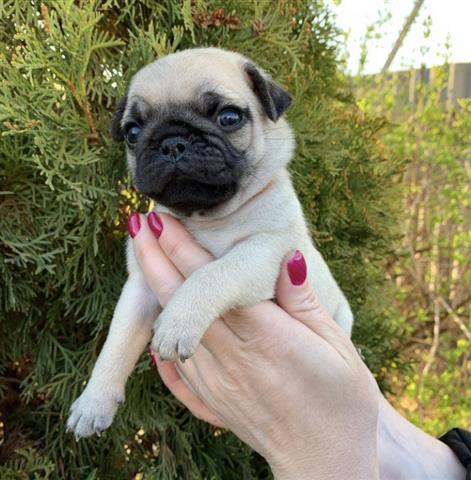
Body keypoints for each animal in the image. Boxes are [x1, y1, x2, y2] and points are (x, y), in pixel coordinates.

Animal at [67, 47, 354, 438]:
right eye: (133, 131)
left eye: (228, 117)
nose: (171, 142)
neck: (207, 217)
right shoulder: (140, 287)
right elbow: (117, 342)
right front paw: (94, 400)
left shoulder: (263, 253)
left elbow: (212, 275)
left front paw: (176, 324)